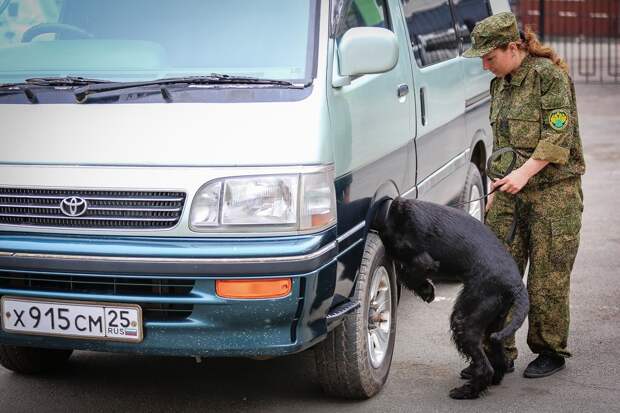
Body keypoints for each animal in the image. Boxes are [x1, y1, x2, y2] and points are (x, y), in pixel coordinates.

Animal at [378, 198, 528, 398]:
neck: (392, 214)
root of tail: (516, 285)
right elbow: (405, 274)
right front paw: (426, 291)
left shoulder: (421, 259)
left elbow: (408, 273)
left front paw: (427, 291)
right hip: (494, 325)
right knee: (498, 356)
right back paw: (492, 381)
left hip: (465, 319)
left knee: (485, 367)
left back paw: (466, 391)